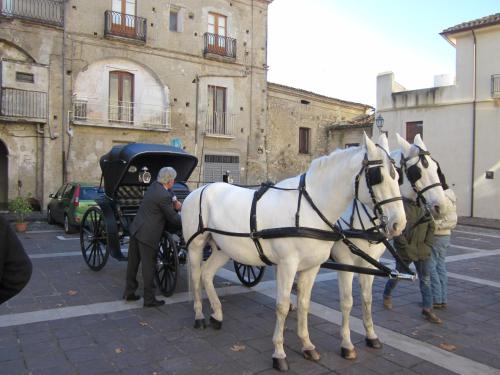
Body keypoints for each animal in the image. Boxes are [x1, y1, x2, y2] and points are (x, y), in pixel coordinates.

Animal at [184, 134, 406, 372]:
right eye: (377, 176)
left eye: (397, 175)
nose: (399, 224)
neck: (310, 207)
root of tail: (200, 189)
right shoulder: (288, 265)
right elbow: (282, 306)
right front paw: (279, 353)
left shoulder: (312, 267)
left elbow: (304, 304)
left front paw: (307, 345)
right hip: (195, 246)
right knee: (196, 277)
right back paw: (199, 316)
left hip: (223, 247)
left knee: (207, 274)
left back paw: (217, 314)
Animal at [332, 134, 450, 360]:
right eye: (416, 172)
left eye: (436, 167)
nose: (444, 207)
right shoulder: (345, 263)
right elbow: (347, 302)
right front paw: (346, 344)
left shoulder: (370, 264)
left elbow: (367, 299)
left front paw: (371, 336)